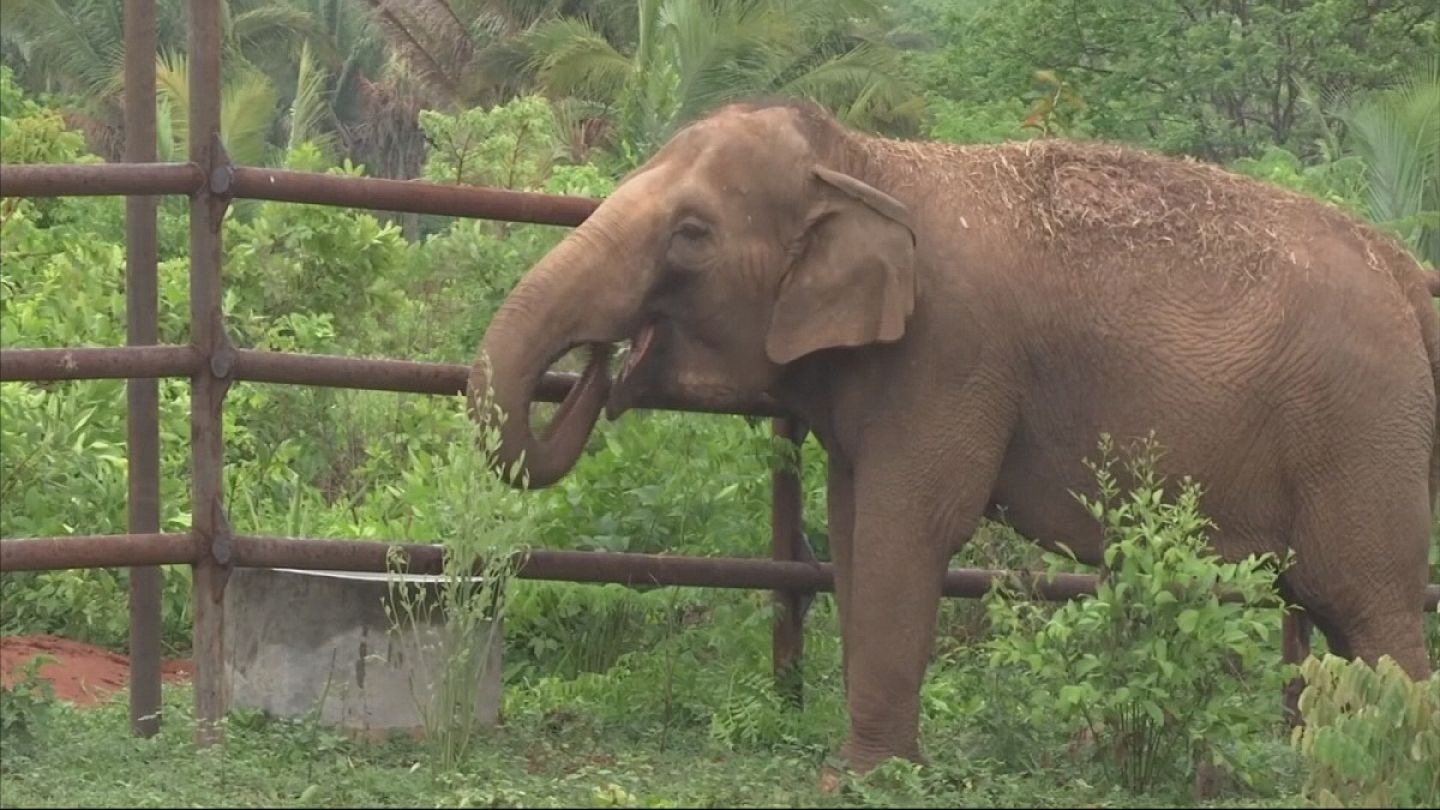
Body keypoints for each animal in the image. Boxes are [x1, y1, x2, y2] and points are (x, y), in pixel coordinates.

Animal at [466, 99, 1434, 766]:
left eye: (692, 235)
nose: (605, 361)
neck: (863, 158)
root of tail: (1403, 269)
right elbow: (853, 527)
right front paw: (866, 762)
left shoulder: (951, 356)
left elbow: (914, 525)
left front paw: (861, 774)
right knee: (1336, 613)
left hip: (1363, 431)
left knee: (1369, 604)